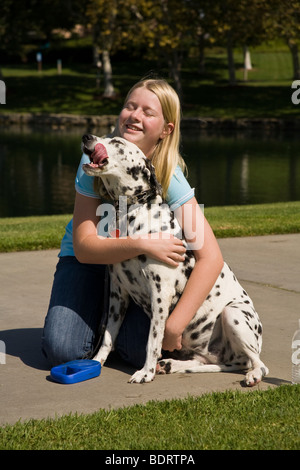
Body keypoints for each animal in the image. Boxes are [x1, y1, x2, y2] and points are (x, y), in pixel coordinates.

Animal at [81, 132, 268, 386]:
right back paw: (172, 364)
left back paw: (253, 374)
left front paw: (145, 372)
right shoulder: (117, 295)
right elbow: (108, 337)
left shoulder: (160, 293)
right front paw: (96, 362)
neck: (133, 212)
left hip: (233, 315)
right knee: (212, 363)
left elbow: (153, 340)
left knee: (257, 364)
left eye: (117, 142)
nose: (86, 136)